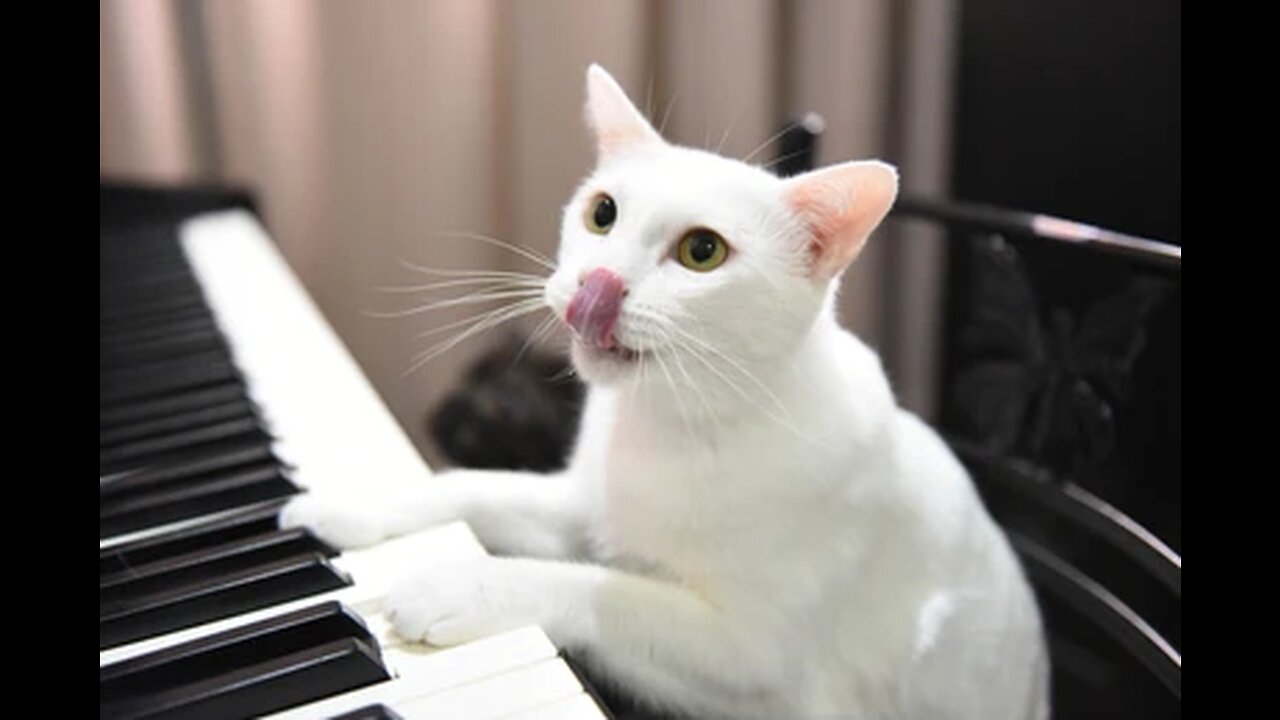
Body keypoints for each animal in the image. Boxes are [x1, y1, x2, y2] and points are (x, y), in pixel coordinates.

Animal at [288, 64, 1049, 712]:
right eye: (602, 213)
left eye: (701, 252)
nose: (596, 287)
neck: (671, 425)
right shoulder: (582, 509)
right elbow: (473, 487)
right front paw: (356, 504)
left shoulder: (753, 660)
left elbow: (605, 590)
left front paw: (464, 584)